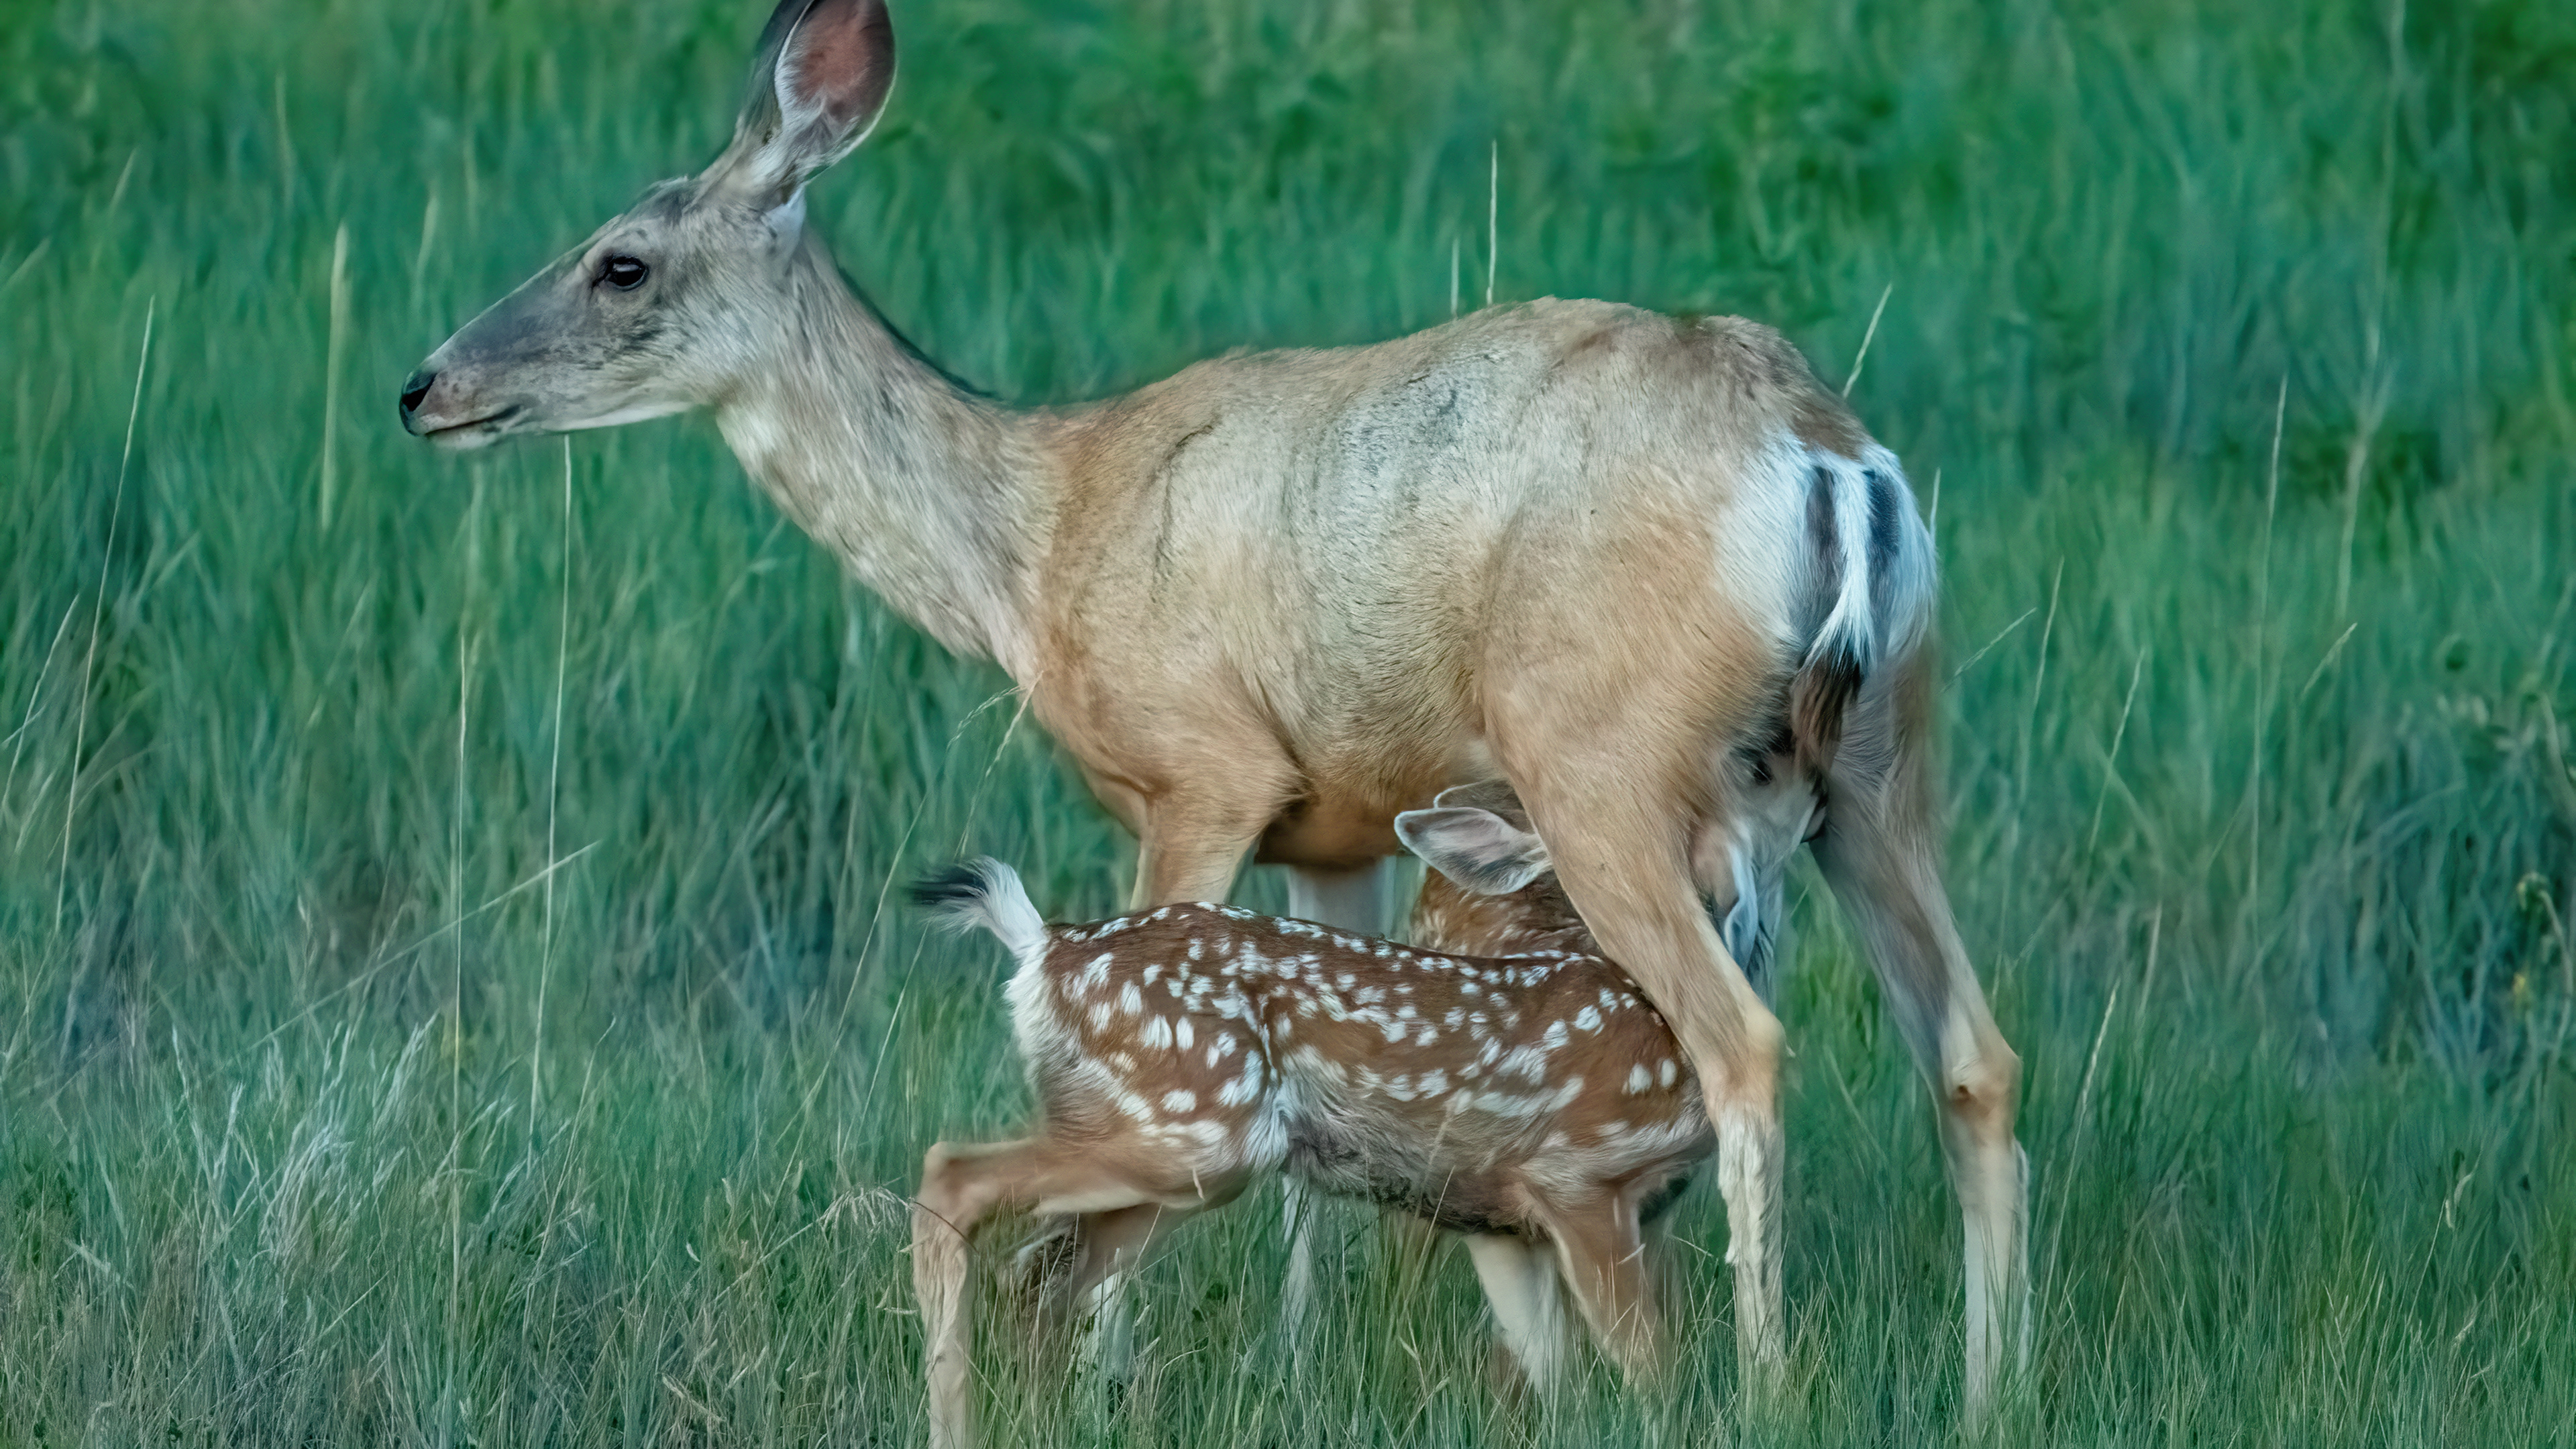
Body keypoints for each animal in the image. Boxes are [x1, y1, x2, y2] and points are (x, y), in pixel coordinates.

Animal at [910, 786, 1719, 1446]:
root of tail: (1043, 948)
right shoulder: (1578, 1179)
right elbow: (1654, 1372)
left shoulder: (1498, 1222)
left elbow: (1556, 1379)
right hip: (1195, 1127)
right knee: (954, 1176)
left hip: (1165, 1154)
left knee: (1038, 1276)